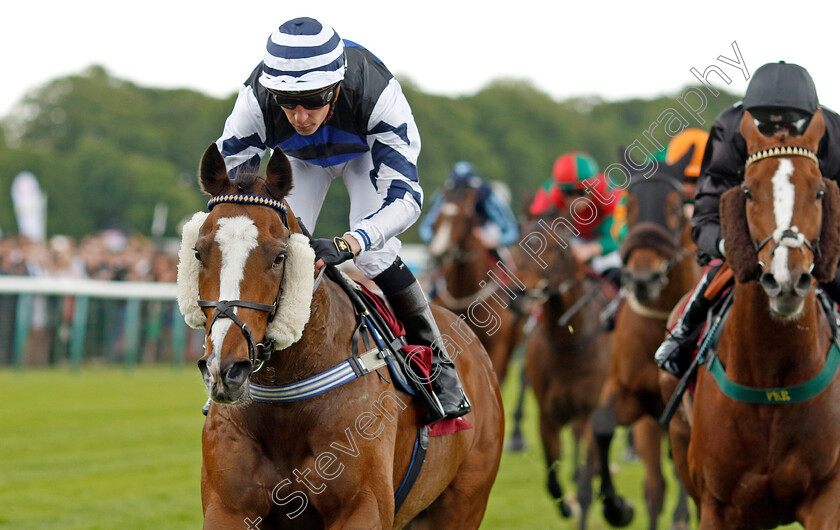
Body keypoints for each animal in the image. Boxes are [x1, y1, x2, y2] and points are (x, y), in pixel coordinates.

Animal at [182, 142, 506, 524]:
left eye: (279, 256)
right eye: (198, 252)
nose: (225, 369)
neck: (286, 399)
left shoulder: (362, 507)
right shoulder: (229, 507)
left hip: (464, 502)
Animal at [516, 208, 612, 524]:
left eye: (554, 248)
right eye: (519, 245)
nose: (521, 292)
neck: (569, 345)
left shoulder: (589, 412)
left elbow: (585, 481)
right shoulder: (548, 415)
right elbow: (552, 481)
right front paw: (567, 505)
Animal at [668, 109, 840, 524]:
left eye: (819, 192)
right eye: (747, 191)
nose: (787, 279)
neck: (773, 377)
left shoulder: (827, 495)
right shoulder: (717, 505)